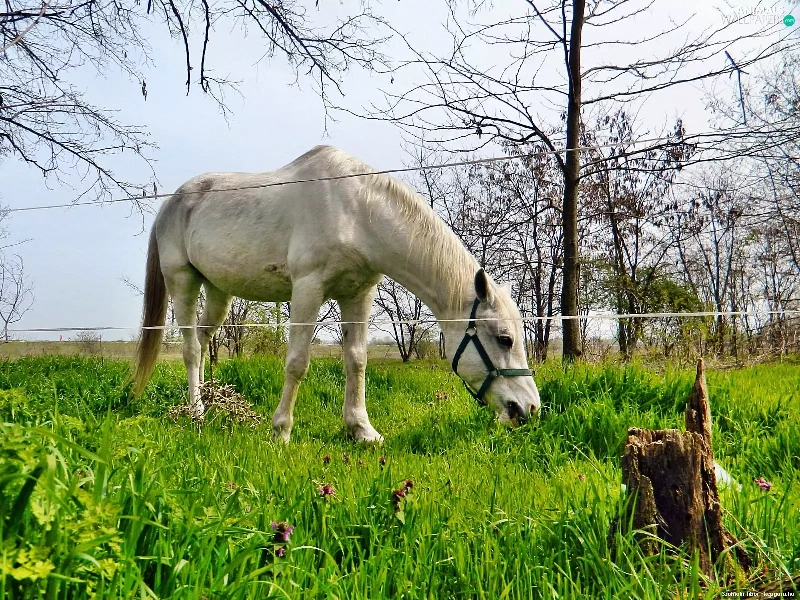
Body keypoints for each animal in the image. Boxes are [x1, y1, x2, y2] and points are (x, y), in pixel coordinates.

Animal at [131, 145, 541, 443]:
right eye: (504, 339)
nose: (530, 408)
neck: (357, 211)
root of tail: (172, 202)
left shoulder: (357, 295)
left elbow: (356, 361)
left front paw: (361, 430)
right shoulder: (308, 289)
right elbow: (297, 362)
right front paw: (281, 431)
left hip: (218, 291)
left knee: (203, 340)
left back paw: (212, 402)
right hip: (183, 281)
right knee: (190, 348)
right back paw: (197, 413)